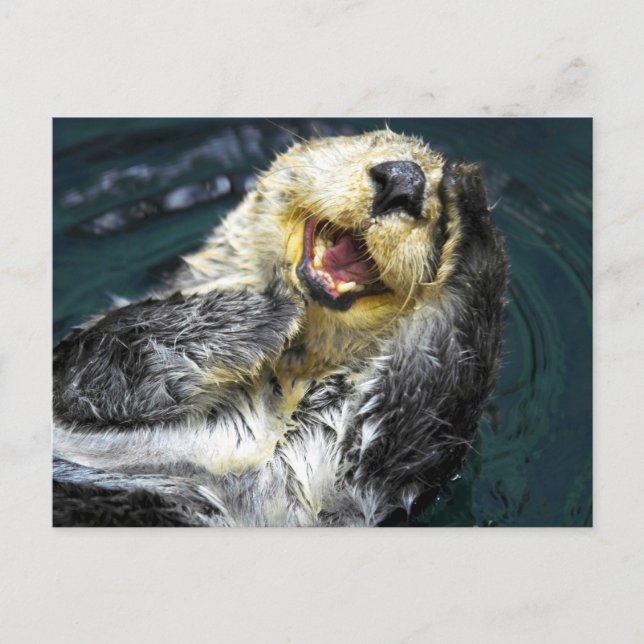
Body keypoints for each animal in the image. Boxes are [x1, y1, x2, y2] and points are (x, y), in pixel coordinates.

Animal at [52, 129, 507, 527]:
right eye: (376, 141)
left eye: (439, 214)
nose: (404, 180)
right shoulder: (78, 371)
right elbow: (101, 358)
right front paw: (271, 309)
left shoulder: (341, 482)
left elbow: (421, 406)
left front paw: (471, 205)